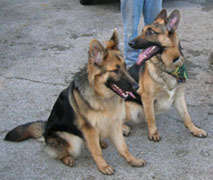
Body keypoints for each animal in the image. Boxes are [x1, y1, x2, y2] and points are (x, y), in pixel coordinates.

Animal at [4, 30, 146, 174]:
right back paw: (67, 158)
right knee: (63, 151)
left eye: (125, 66)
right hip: (71, 139)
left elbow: (123, 147)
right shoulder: (89, 128)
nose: (137, 86)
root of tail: (45, 133)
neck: (101, 95)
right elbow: (96, 151)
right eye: (115, 70)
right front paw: (103, 166)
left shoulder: (114, 125)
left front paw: (132, 160)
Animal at [125, 9, 207, 141]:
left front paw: (194, 129)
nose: (129, 43)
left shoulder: (179, 97)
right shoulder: (147, 98)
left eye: (150, 32)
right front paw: (153, 133)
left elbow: (186, 115)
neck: (167, 67)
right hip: (132, 108)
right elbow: (151, 117)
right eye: (142, 31)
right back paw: (124, 128)